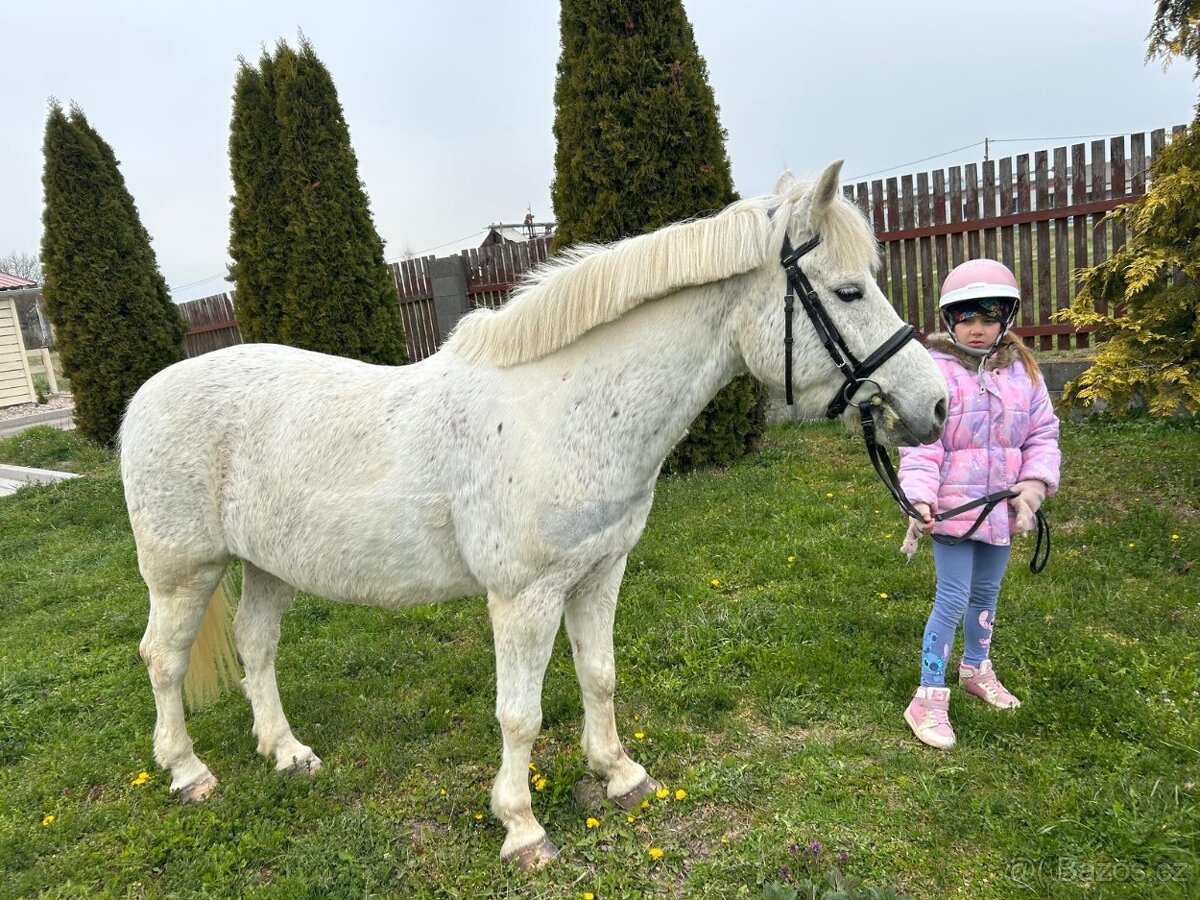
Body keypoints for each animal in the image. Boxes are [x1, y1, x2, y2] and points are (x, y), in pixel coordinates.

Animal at [119, 161, 947, 866]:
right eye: (848, 292)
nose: (935, 404)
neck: (563, 410)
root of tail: (145, 397)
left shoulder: (600, 573)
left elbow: (600, 677)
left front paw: (620, 774)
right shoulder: (525, 598)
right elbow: (519, 715)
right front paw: (521, 828)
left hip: (268, 565)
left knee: (256, 648)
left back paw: (287, 753)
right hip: (183, 572)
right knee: (162, 659)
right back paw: (187, 771)